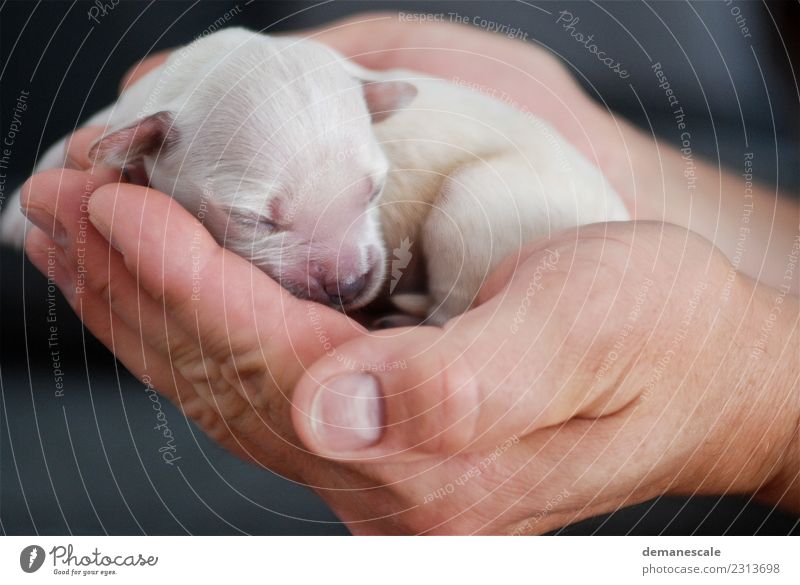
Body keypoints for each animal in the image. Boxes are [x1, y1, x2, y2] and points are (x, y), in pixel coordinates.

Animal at [3, 27, 632, 324]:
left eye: (373, 190)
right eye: (255, 219)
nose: (351, 286)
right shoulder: (139, 100)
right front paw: (16, 214)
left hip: (480, 204)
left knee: (457, 303)